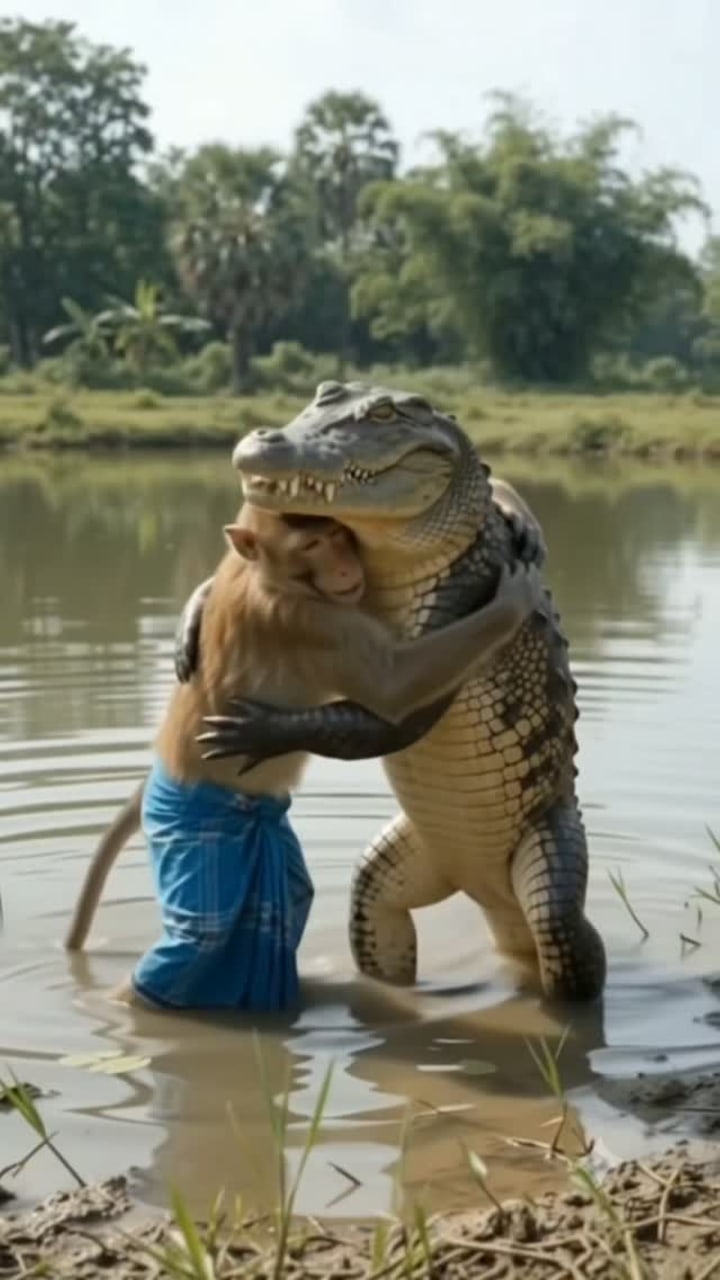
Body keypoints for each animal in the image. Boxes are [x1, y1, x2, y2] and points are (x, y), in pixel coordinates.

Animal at [65, 506, 542, 1013]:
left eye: (338, 535)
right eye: (312, 545)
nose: (347, 569)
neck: (272, 580)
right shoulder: (309, 620)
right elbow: (395, 688)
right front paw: (512, 604)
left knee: (282, 901)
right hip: (193, 831)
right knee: (202, 939)